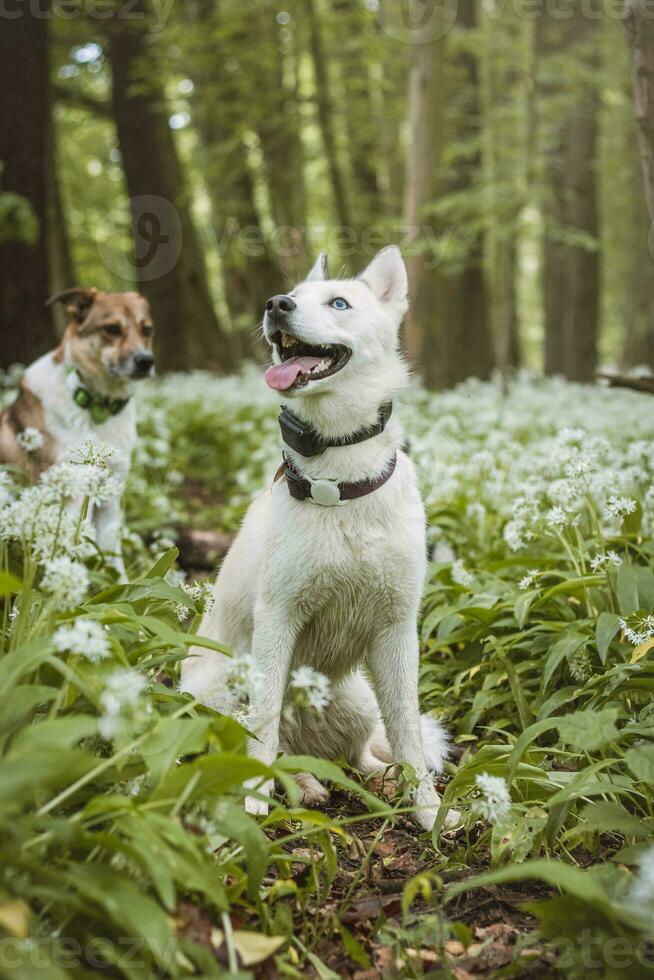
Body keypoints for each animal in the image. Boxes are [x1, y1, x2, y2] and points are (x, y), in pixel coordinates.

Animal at [0, 286, 156, 576]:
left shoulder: (110, 496)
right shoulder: (72, 492)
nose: (145, 361)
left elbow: (114, 561)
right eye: (112, 329)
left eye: (147, 329)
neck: (99, 408)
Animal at [181, 249, 456, 832]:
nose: (275, 304)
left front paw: (428, 810)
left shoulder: (397, 629)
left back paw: (375, 781)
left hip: (356, 700)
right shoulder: (278, 617)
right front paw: (254, 801)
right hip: (218, 692)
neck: (341, 482)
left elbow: (406, 731)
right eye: (289, 295)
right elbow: (262, 723)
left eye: (339, 303)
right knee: (273, 746)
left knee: (358, 752)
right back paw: (301, 786)